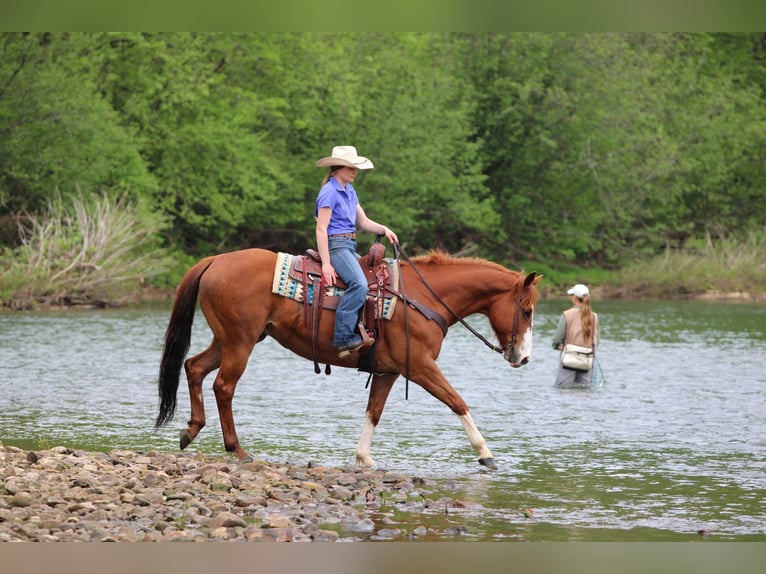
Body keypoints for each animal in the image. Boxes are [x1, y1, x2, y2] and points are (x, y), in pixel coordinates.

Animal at [155, 247, 541, 470]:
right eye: (526, 310)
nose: (522, 358)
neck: (423, 297)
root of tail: (215, 260)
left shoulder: (388, 371)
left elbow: (374, 412)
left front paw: (363, 458)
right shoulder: (419, 366)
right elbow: (457, 401)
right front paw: (485, 454)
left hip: (229, 339)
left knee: (194, 367)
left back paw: (191, 430)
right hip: (240, 342)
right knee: (223, 386)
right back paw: (237, 450)